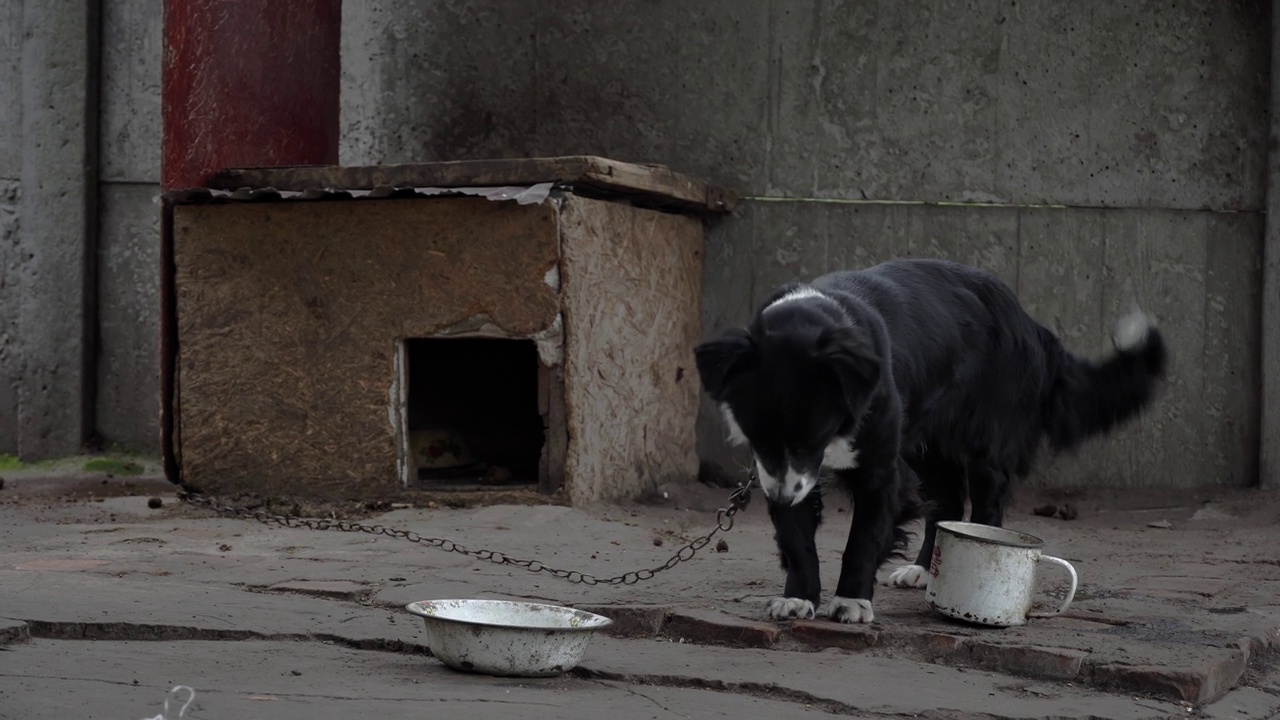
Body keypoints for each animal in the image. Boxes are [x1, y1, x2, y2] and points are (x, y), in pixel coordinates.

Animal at [696, 257, 1167, 622]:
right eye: (755, 435)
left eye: (815, 434)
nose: (781, 494)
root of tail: (1028, 321)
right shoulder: (780, 471)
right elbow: (798, 539)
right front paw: (797, 598)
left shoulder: (879, 471)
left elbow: (863, 539)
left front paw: (851, 602)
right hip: (926, 446)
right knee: (948, 505)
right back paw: (924, 570)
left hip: (984, 438)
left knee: (985, 502)